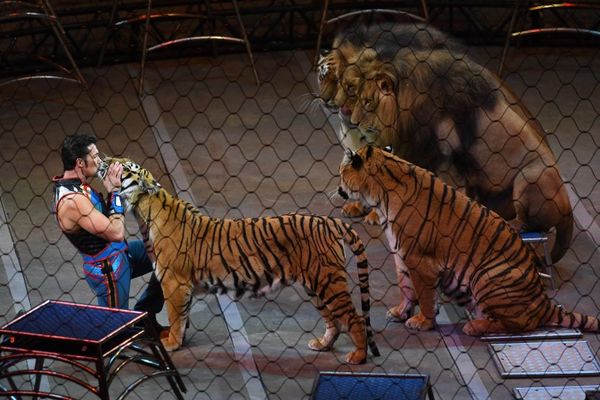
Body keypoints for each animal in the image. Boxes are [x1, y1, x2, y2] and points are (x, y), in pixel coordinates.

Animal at [105, 158, 380, 364]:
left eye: (124, 164)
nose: (106, 159)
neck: (145, 210)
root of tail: (328, 221)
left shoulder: (174, 282)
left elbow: (175, 316)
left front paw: (171, 343)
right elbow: (183, 316)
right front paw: (179, 339)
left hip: (329, 282)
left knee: (354, 319)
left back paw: (357, 357)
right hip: (315, 285)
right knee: (334, 321)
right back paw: (322, 345)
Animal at [340, 146, 596, 334]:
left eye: (342, 172)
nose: (339, 188)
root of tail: (543, 301)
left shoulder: (418, 260)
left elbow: (423, 294)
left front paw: (423, 321)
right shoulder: (402, 256)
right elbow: (406, 287)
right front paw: (400, 312)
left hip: (487, 276)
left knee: (520, 324)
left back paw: (474, 326)